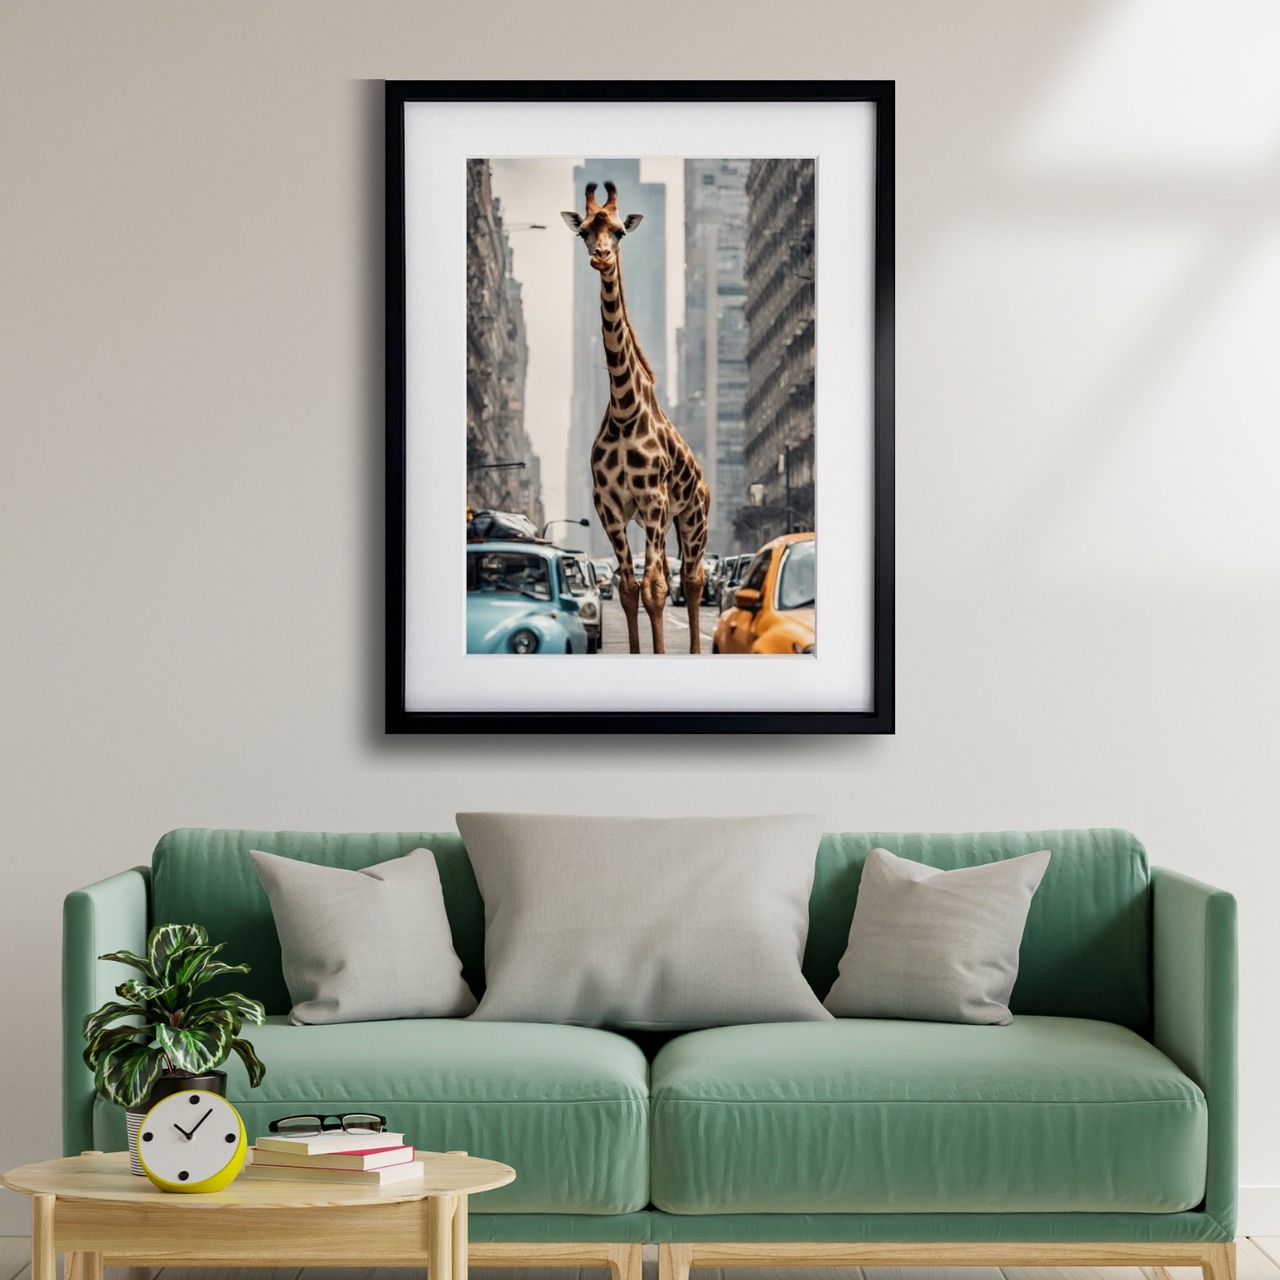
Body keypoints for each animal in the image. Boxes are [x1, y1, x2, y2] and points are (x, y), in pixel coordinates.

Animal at [561, 180, 711, 655]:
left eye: (619, 232)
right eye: (584, 231)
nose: (601, 256)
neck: (625, 410)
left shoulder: (654, 500)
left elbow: (657, 589)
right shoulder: (610, 508)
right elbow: (629, 589)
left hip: (693, 516)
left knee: (694, 579)